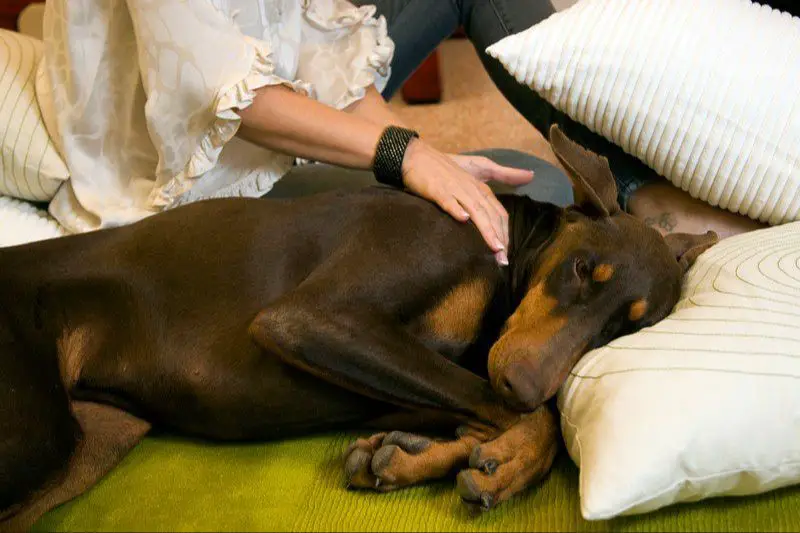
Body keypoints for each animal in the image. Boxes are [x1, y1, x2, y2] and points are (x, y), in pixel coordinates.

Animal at [0, 125, 712, 528]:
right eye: (583, 267)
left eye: (621, 330)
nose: (526, 383)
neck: (505, 252)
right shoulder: (316, 319)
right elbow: (523, 417)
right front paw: (508, 459)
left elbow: (483, 410)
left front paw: (411, 459)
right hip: (38, 439)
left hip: (92, 446)